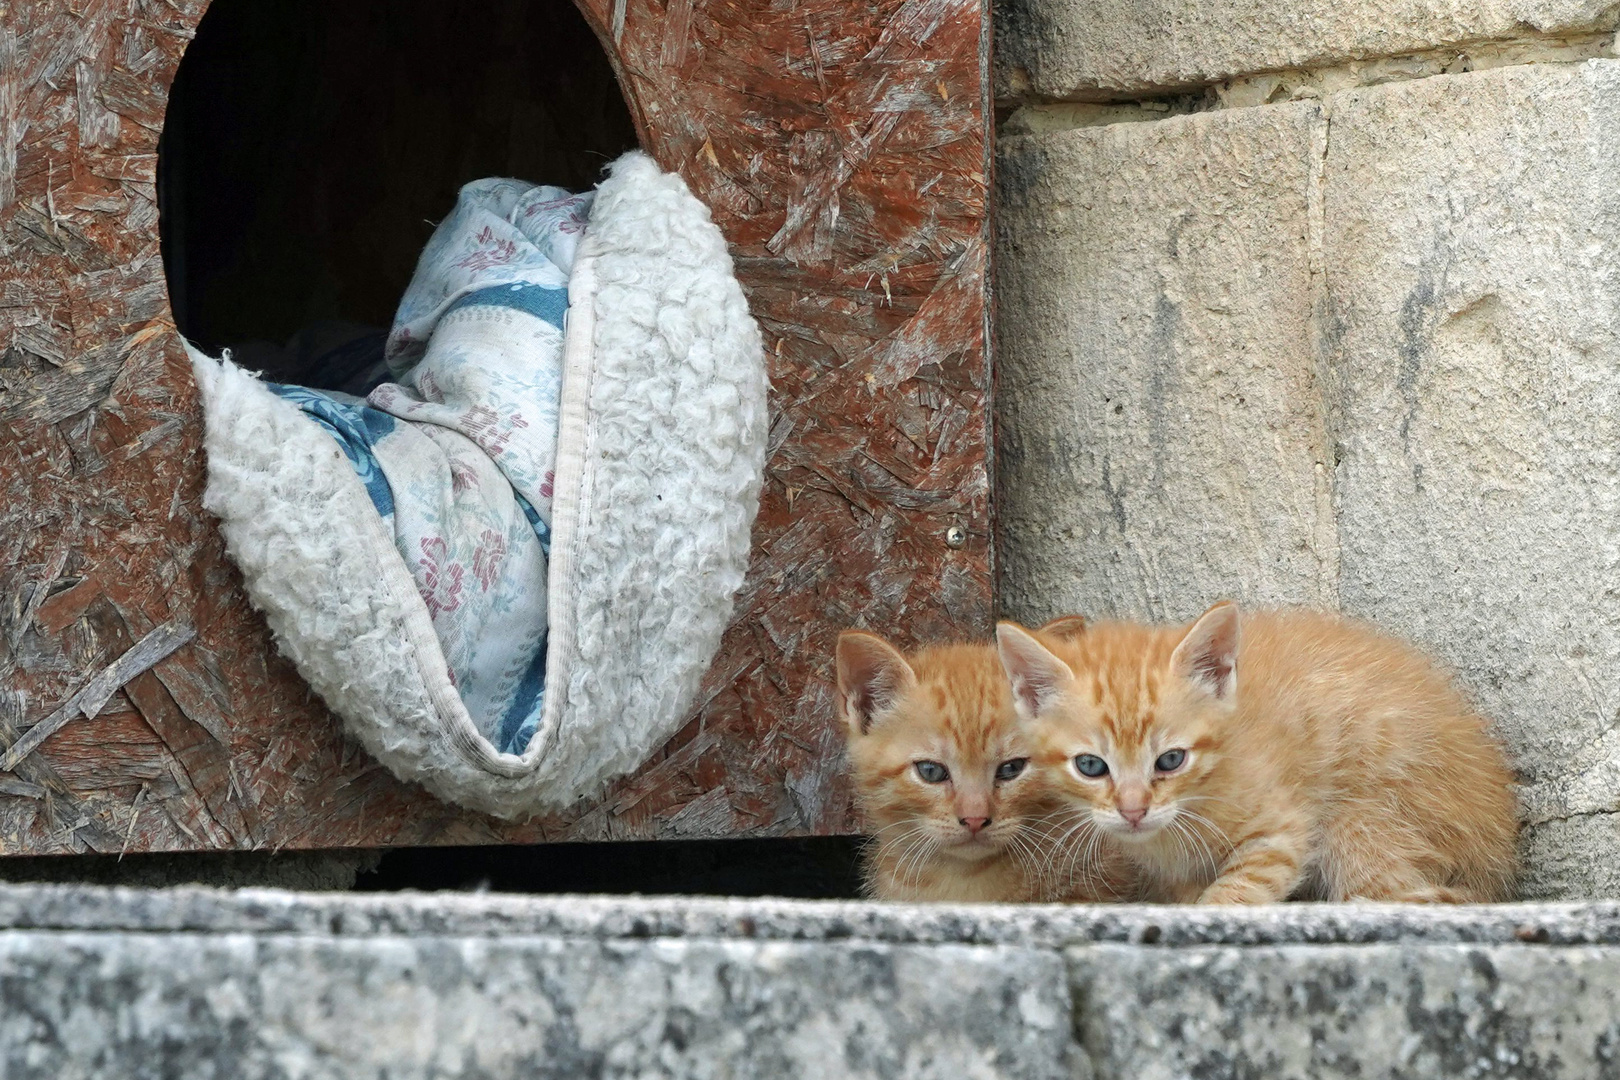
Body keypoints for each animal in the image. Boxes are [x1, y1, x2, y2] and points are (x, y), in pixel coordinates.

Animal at [997, 605, 1516, 906]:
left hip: (1368, 818)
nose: (1133, 811)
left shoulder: (1282, 830)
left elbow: (1237, 891)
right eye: (1090, 766)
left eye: (1170, 761)